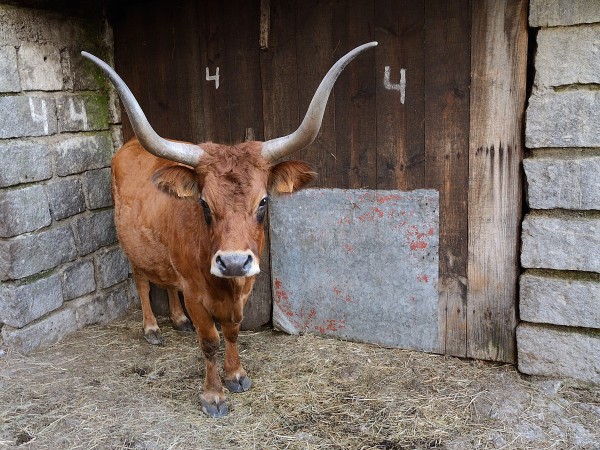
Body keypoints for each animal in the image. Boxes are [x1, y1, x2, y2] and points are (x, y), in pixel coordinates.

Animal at [82, 40, 378, 416]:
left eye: (263, 201)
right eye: (204, 204)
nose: (234, 262)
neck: (227, 286)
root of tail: (130, 146)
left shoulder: (245, 287)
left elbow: (233, 331)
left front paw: (236, 375)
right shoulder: (195, 293)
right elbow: (210, 340)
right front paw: (213, 395)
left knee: (167, 283)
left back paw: (177, 320)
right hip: (131, 246)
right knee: (143, 282)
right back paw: (152, 328)